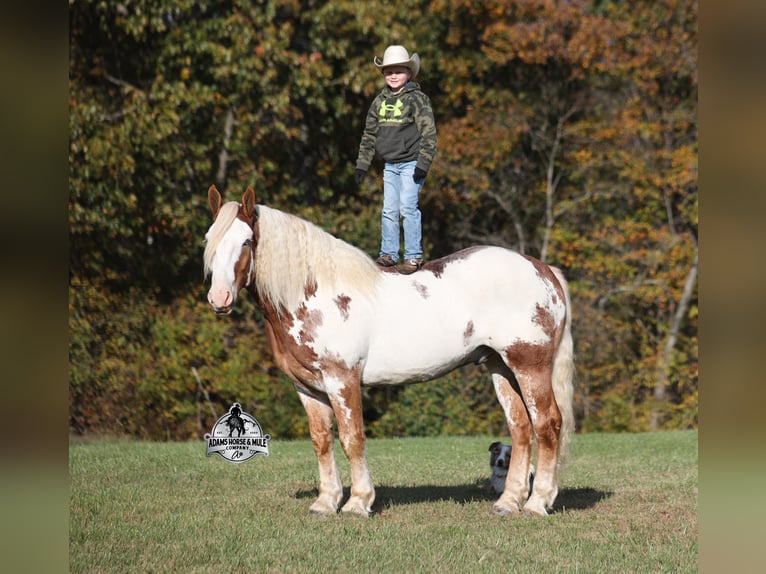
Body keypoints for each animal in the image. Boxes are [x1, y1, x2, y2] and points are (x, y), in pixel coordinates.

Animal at [203, 184, 575, 517]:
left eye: (246, 241)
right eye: (209, 241)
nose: (219, 298)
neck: (314, 292)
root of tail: (543, 270)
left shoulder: (343, 381)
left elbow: (352, 439)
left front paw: (357, 503)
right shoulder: (307, 388)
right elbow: (321, 441)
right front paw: (325, 503)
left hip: (529, 365)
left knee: (547, 425)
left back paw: (537, 503)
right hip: (500, 366)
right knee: (521, 429)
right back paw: (508, 503)